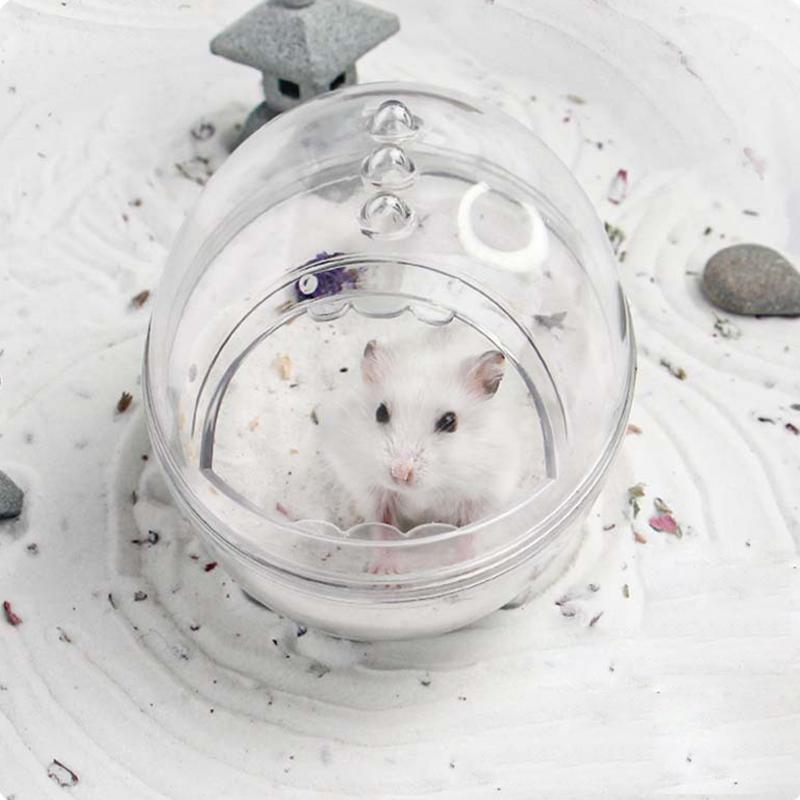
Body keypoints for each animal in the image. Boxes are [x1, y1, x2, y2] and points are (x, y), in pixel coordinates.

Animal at [319, 327, 523, 532]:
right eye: (380, 412)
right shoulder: (369, 489)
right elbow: (382, 524)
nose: (400, 474)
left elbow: (471, 531)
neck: (426, 490)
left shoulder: (486, 494)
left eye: (449, 421)